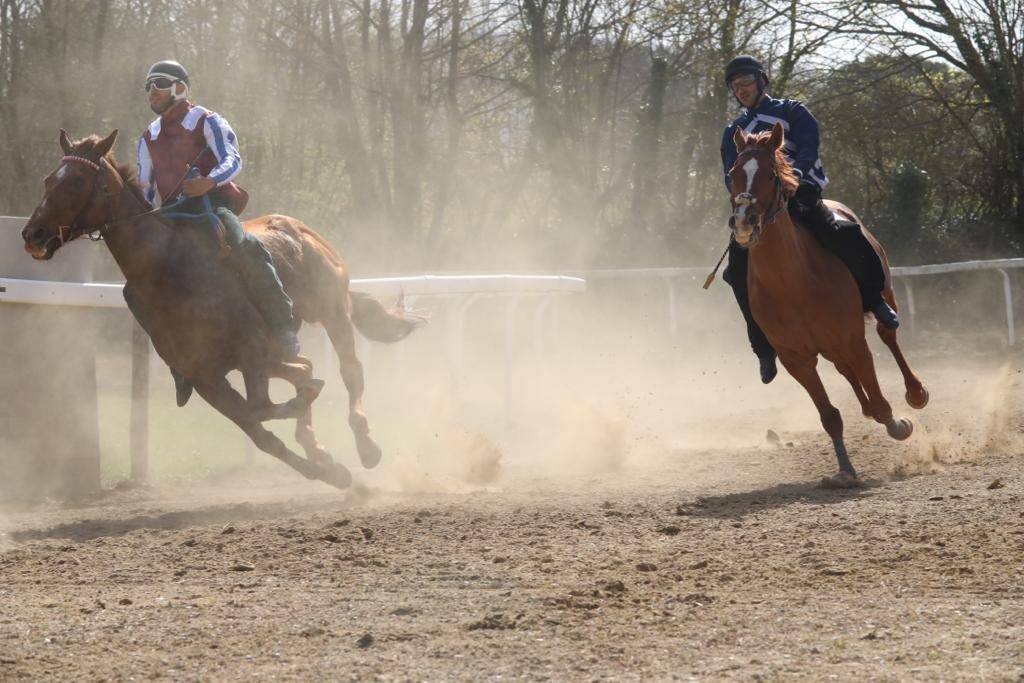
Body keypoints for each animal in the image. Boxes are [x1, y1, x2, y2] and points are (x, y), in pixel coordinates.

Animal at [24, 129, 423, 491]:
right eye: (48, 179)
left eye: (77, 180)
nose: (33, 234)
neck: (171, 272)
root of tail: (303, 230)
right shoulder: (205, 377)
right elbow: (260, 428)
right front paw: (328, 469)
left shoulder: (250, 350)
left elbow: (263, 408)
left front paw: (320, 439)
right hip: (274, 350)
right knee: (303, 368)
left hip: (332, 311)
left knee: (350, 372)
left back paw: (367, 445)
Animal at [729, 121, 929, 485]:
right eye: (733, 172)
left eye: (769, 174)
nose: (743, 222)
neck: (791, 284)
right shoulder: (797, 361)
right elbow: (830, 416)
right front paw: (845, 471)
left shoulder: (855, 342)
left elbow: (882, 403)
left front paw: (898, 425)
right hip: (830, 348)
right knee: (844, 370)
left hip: (883, 299)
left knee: (888, 335)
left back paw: (916, 392)